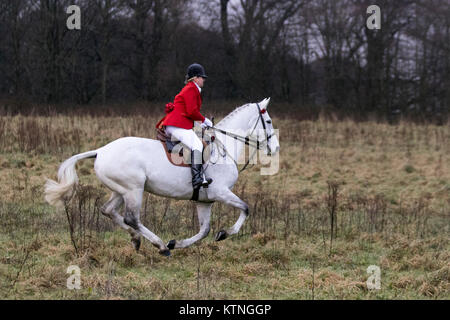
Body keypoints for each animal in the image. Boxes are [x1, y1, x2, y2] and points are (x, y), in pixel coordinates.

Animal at [44, 99, 278, 256]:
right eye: (267, 120)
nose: (275, 148)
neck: (224, 148)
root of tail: (101, 150)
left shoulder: (205, 200)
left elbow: (204, 230)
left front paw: (179, 243)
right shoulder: (221, 192)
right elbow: (245, 208)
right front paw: (224, 233)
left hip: (121, 190)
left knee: (109, 211)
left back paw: (138, 240)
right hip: (133, 189)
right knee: (131, 218)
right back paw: (160, 246)